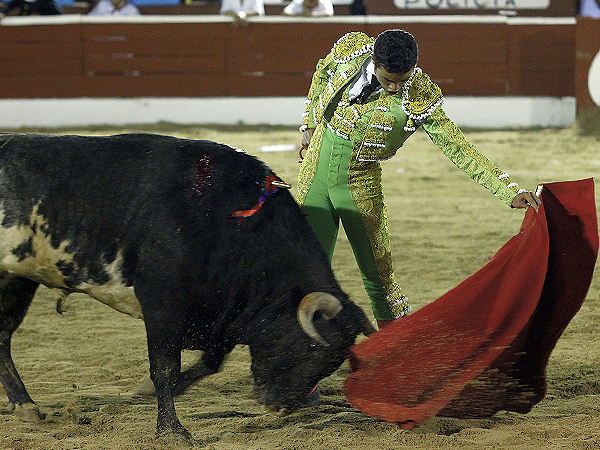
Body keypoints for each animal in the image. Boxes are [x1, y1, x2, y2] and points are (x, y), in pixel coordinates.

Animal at [0, 132, 376, 444]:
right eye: (312, 348)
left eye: (333, 362)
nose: (280, 407)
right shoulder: (162, 305)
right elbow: (166, 367)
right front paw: (172, 430)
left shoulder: (219, 313)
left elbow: (210, 362)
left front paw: (148, 392)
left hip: (17, 278)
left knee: (3, 336)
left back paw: (25, 406)